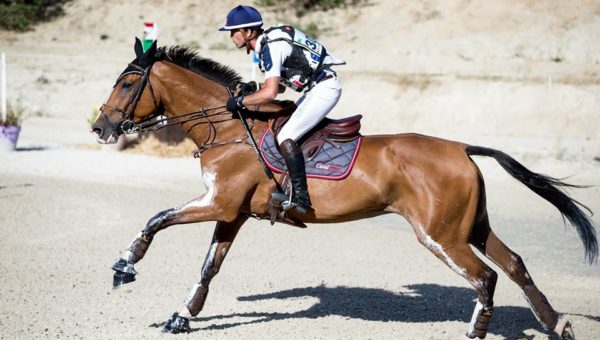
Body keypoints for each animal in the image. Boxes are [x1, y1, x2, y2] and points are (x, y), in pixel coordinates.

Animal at [91, 38, 596, 338]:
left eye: (128, 83)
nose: (100, 128)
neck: (229, 126)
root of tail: (461, 148)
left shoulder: (217, 202)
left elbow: (156, 219)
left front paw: (124, 265)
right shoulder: (231, 212)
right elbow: (209, 266)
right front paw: (182, 315)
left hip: (439, 234)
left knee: (485, 277)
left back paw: (479, 332)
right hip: (470, 226)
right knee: (514, 265)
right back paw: (559, 324)